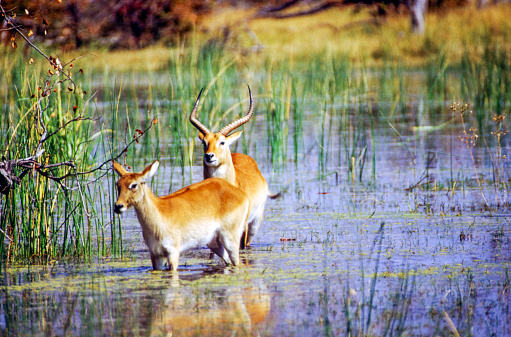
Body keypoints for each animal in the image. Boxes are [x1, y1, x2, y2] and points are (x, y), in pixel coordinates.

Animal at [112, 160, 250, 270]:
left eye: (133, 185)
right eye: (118, 184)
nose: (118, 206)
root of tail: (241, 193)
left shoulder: (173, 252)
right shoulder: (155, 254)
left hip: (230, 238)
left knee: (237, 262)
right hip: (214, 243)